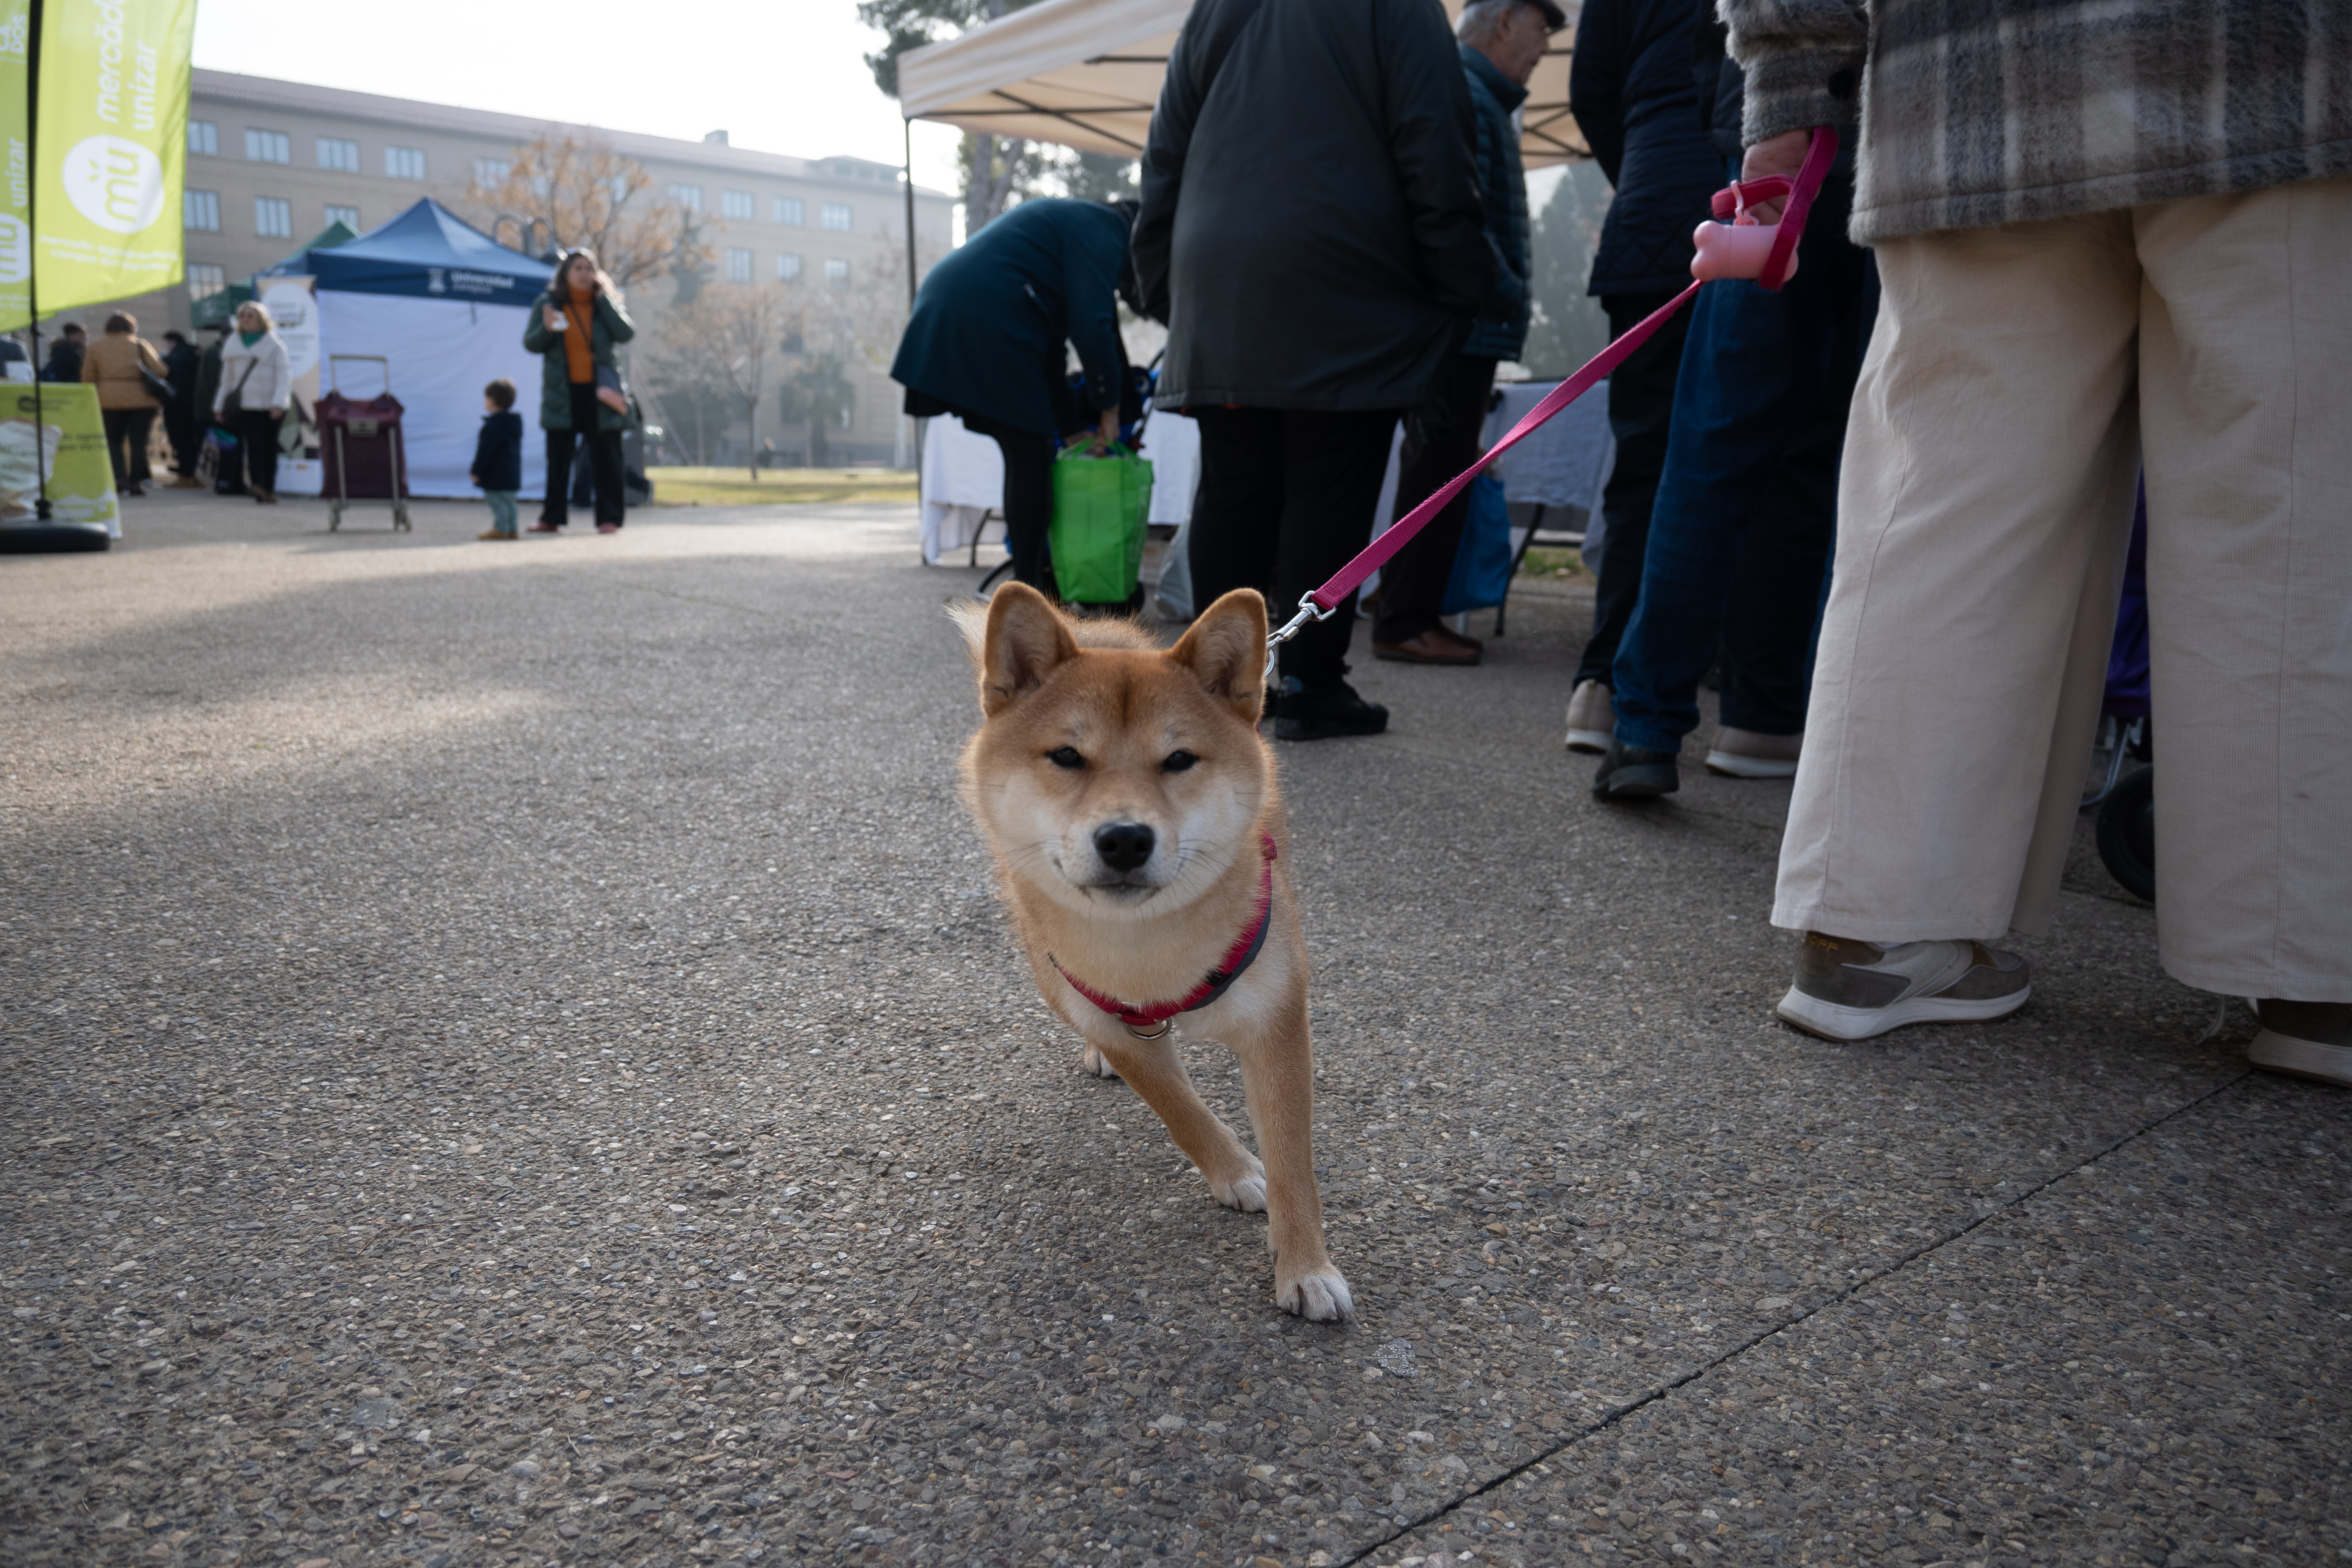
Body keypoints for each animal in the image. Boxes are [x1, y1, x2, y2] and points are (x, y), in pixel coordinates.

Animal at [950, 583, 1355, 1316]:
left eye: (1179, 760)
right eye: (1067, 757)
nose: (1125, 839)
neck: (1150, 950)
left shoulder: (1278, 1021)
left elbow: (1294, 1159)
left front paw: (1307, 1266)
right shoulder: (1116, 1024)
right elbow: (1181, 1111)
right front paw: (1235, 1170)